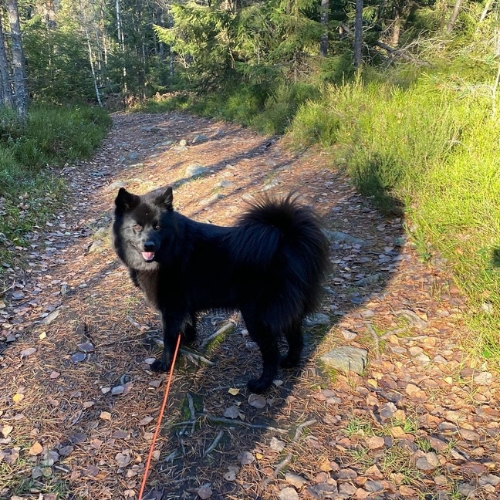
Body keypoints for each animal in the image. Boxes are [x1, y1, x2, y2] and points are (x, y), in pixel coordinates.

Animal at [114, 186, 330, 392]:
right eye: (137, 227)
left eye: (158, 227)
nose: (149, 245)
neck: (170, 249)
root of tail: (288, 239)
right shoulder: (184, 306)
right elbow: (188, 325)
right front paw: (187, 342)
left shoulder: (171, 308)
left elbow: (168, 338)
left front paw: (165, 363)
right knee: (296, 337)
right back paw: (290, 362)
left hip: (257, 317)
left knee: (271, 352)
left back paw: (262, 385)